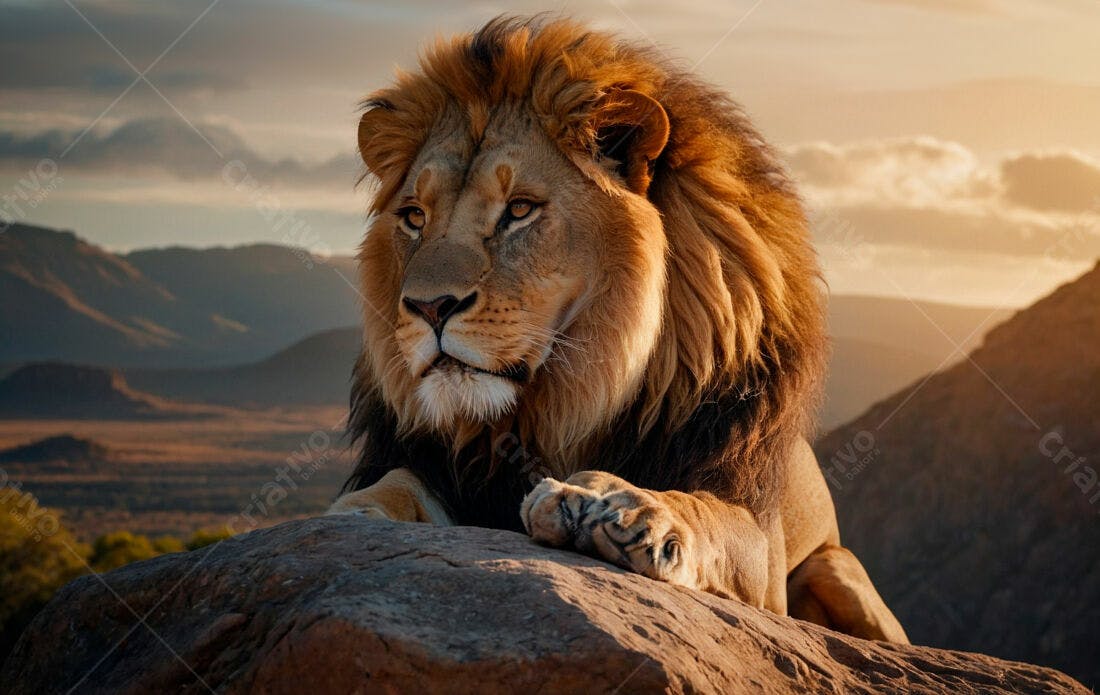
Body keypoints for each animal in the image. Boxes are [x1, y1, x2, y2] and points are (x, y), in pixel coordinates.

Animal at [329, 15, 908, 643]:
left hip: (836, 569)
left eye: (520, 209)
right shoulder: (446, 472)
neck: (565, 402)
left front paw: (632, 511)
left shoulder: (761, 552)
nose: (428, 306)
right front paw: (355, 515)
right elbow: (397, 482)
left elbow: (707, 513)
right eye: (414, 216)